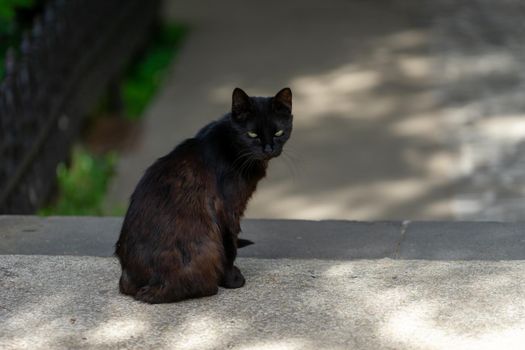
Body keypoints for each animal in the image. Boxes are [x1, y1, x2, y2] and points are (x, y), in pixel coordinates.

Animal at [113, 87, 290, 304]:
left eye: (279, 132)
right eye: (252, 134)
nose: (268, 149)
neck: (231, 145)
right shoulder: (227, 210)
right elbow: (229, 248)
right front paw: (232, 280)